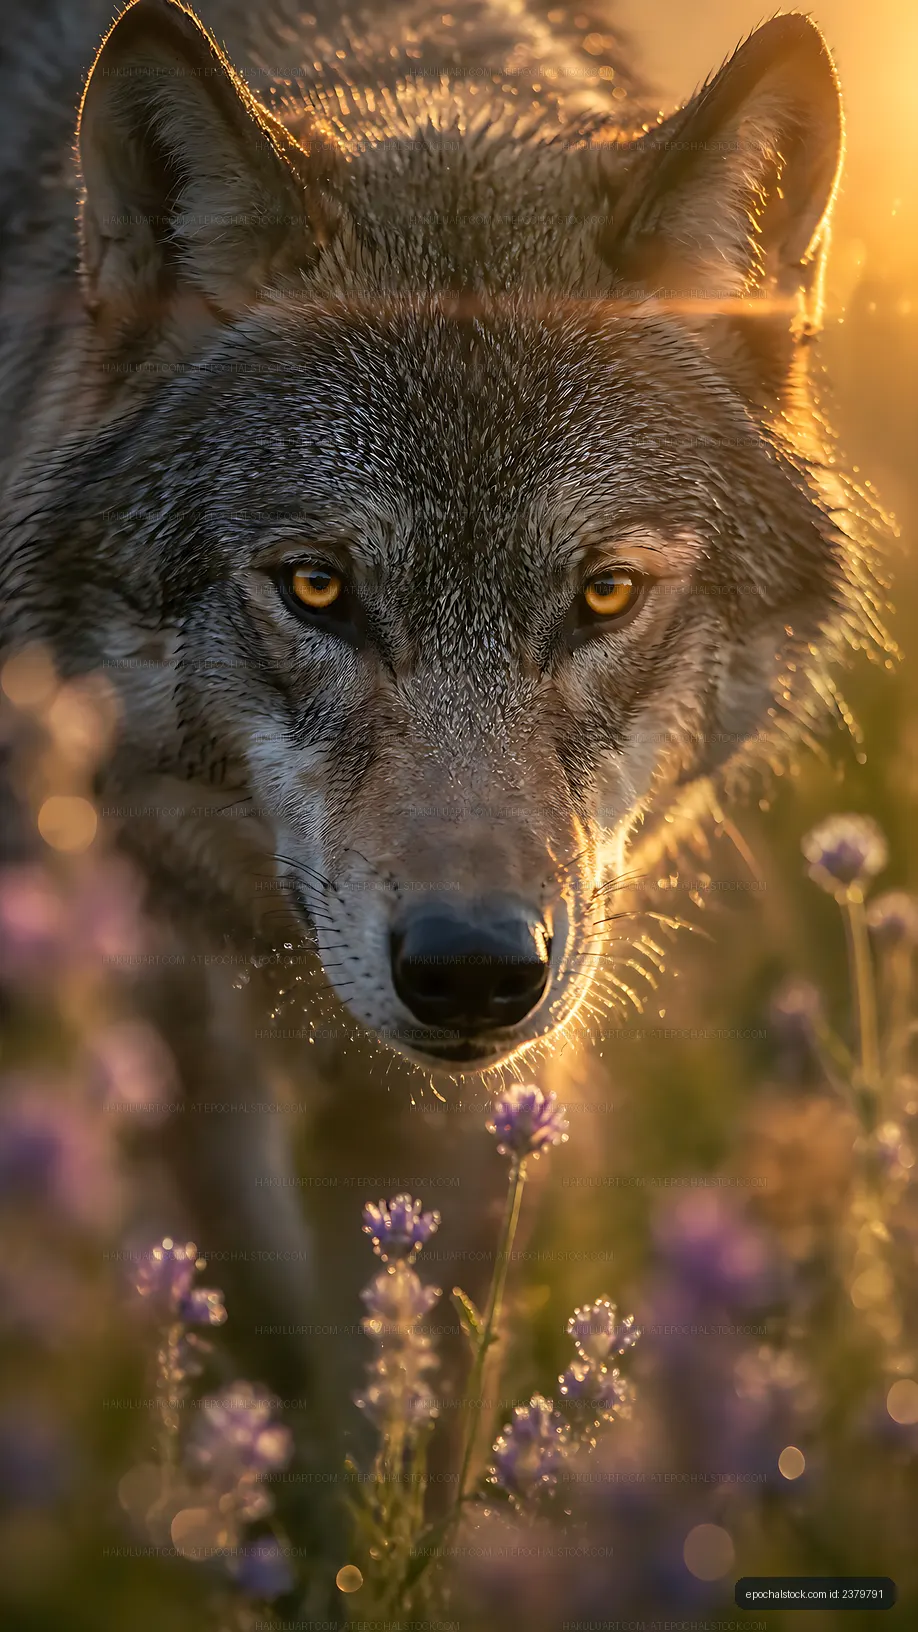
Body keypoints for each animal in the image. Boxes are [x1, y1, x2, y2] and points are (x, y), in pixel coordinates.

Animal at [0, 0, 882, 1580]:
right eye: (317, 588)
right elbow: (264, 1362)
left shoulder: (473, 1104)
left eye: (603, 594)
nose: (474, 970)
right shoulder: (182, 1028)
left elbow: (418, 1396)